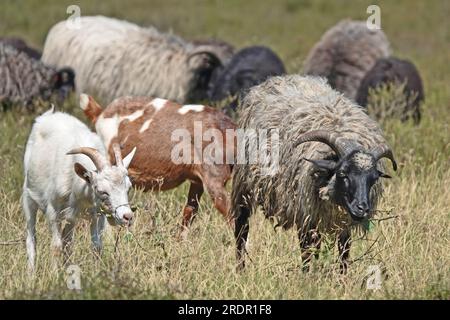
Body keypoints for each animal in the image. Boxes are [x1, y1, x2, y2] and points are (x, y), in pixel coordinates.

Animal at [22, 107, 135, 270]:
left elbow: (96, 246)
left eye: (129, 187)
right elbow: (56, 246)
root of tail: (48, 114)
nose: (127, 216)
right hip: (28, 196)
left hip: (71, 217)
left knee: (68, 240)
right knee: (31, 237)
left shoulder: (96, 214)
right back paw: (31, 272)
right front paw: (54, 273)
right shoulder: (53, 211)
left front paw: (97, 272)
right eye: (101, 191)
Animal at [232, 75, 398, 272]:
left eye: (373, 179)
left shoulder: (342, 222)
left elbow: (344, 253)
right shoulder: (305, 215)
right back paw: (240, 270)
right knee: (241, 229)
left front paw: (342, 278)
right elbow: (306, 254)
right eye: (343, 173)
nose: (362, 208)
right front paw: (307, 277)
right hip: (244, 185)